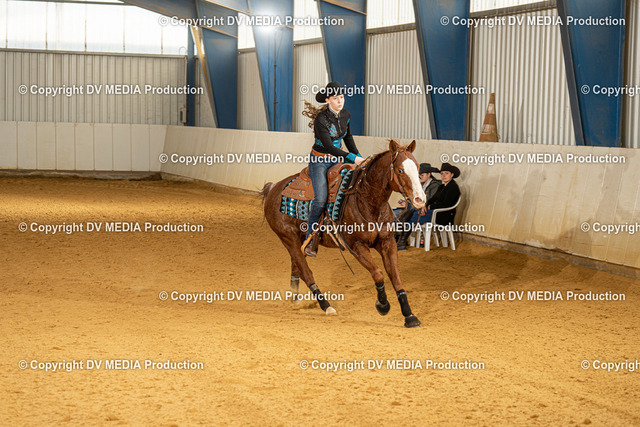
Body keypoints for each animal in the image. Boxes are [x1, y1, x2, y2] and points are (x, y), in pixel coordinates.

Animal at [260, 139, 426, 328]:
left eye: (417, 168)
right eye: (400, 170)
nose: (420, 200)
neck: (366, 201)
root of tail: (274, 187)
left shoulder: (387, 242)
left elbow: (396, 276)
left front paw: (409, 315)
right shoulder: (356, 246)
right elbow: (377, 273)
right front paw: (383, 305)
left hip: (299, 240)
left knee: (297, 268)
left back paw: (295, 300)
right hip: (288, 238)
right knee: (306, 272)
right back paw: (326, 306)